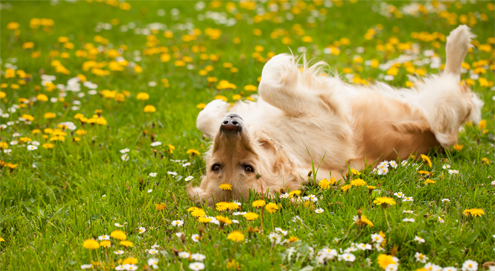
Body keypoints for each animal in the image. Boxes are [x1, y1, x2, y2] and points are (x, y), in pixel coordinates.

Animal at [187, 25, 484, 206]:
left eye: (214, 167)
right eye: (246, 168)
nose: (231, 124)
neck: (278, 145)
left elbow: (204, 118)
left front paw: (217, 106)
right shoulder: (329, 113)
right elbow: (268, 85)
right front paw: (280, 63)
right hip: (442, 108)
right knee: (457, 88)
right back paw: (458, 39)